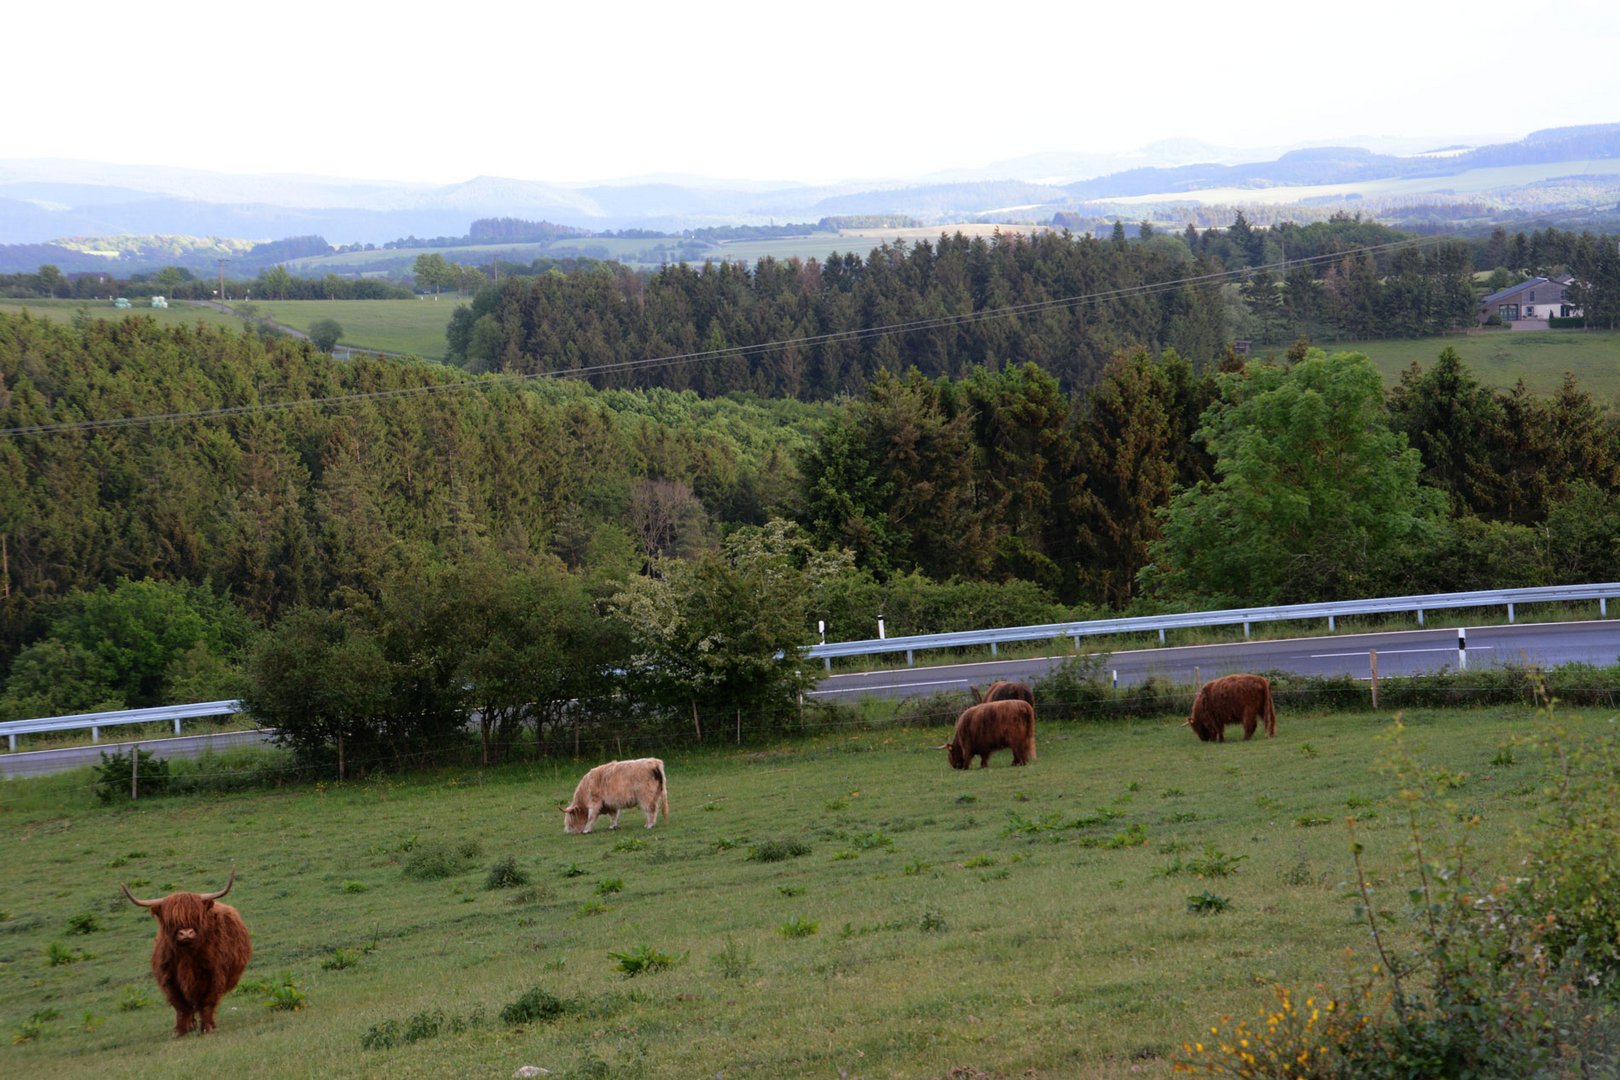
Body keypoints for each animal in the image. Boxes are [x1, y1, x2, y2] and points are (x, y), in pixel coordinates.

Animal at [123, 867, 251, 1036]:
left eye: (196, 916)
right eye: (171, 920)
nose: (186, 933)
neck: (186, 956)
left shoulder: (215, 975)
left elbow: (207, 1003)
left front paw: (208, 1027)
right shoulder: (170, 979)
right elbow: (181, 1007)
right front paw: (181, 1030)